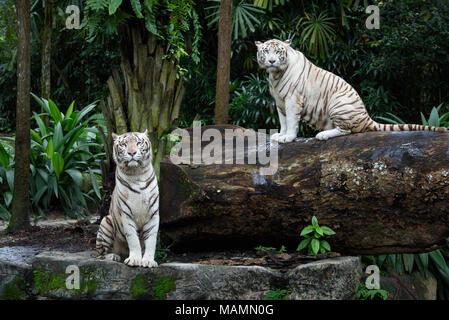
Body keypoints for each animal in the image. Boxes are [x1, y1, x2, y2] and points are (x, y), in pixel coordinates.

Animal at [95, 130, 159, 268]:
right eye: (124, 144)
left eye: (138, 143)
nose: (132, 153)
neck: (137, 174)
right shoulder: (126, 214)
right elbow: (132, 238)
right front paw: (135, 259)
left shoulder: (153, 214)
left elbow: (151, 240)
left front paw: (148, 261)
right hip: (106, 221)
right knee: (101, 254)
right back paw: (113, 256)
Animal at [254, 38, 446, 141]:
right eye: (266, 51)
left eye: (278, 52)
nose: (271, 61)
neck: (275, 75)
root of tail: (366, 117)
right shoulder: (280, 102)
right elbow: (283, 121)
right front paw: (280, 135)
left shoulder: (293, 100)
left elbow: (292, 121)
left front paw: (288, 138)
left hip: (337, 103)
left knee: (346, 130)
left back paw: (322, 135)